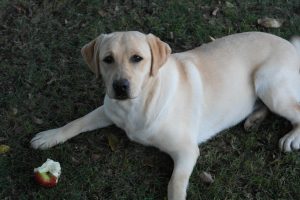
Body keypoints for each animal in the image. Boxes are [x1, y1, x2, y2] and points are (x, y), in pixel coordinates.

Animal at [31, 31, 300, 198]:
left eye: (137, 58)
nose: (120, 86)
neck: (137, 106)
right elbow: (76, 122)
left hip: (268, 83)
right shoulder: (109, 109)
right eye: (107, 59)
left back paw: (290, 137)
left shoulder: (187, 150)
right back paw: (254, 119)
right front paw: (50, 136)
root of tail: (291, 45)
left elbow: (175, 183)